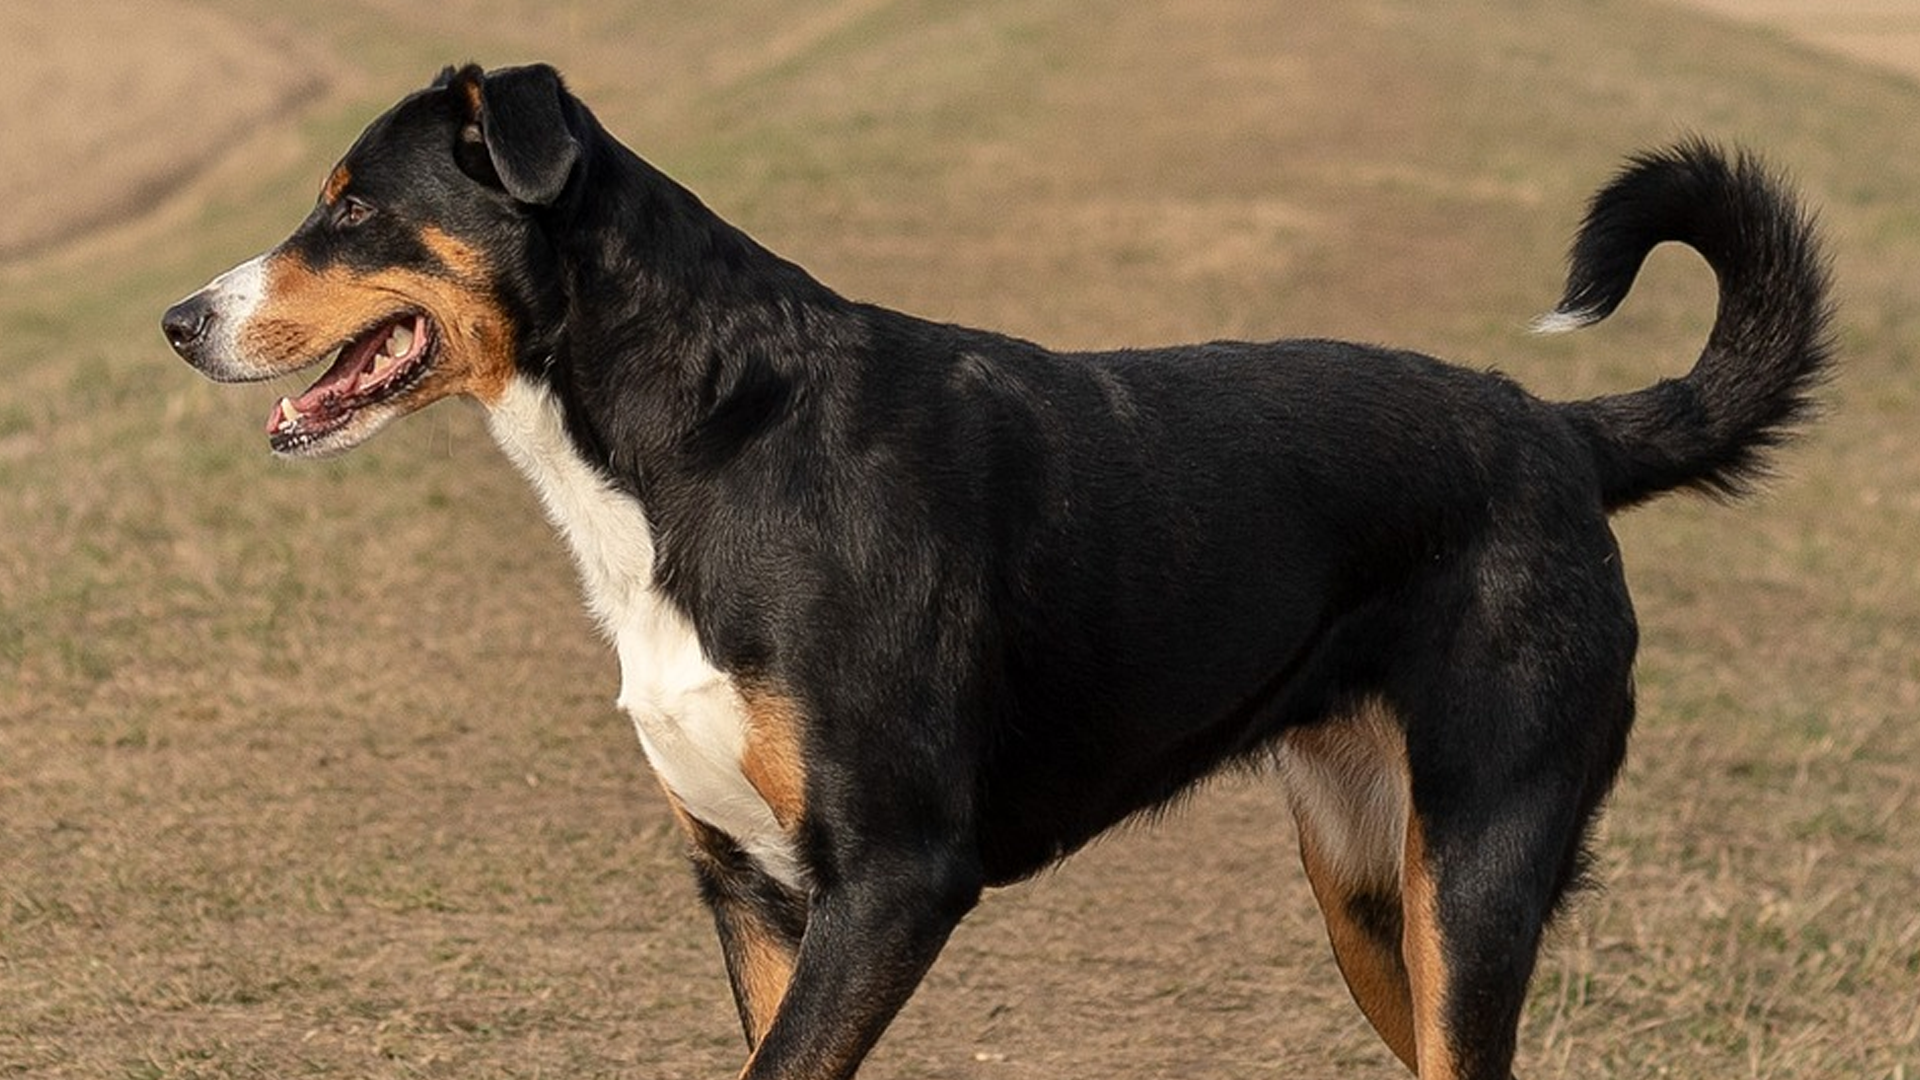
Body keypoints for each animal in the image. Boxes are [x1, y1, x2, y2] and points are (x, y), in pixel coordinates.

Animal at [161, 62, 1827, 1068]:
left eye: (355, 203)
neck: (704, 441)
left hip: (1475, 869)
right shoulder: (751, 890)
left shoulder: (897, 876)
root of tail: (1554, 430)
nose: (177, 318)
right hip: (1367, 887)